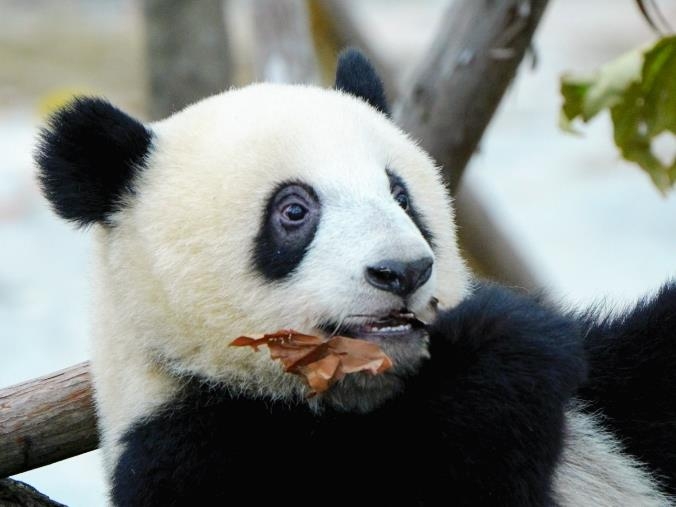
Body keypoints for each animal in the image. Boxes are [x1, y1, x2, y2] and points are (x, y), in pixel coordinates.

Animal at [37, 48, 676, 507]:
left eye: (400, 194)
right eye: (294, 211)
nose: (404, 272)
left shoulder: (614, 393)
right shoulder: (191, 451)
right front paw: (506, 343)